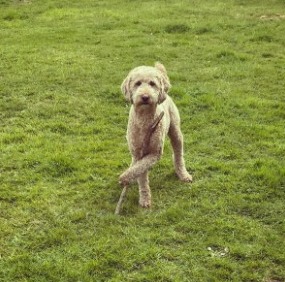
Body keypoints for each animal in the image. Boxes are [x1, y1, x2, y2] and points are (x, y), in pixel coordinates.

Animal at [118, 62, 192, 207]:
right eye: (138, 83)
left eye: (152, 83)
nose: (145, 97)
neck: (144, 119)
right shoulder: (138, 152)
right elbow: (140, 173)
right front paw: (144, 197)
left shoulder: (155, 153)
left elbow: (139, 168)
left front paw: (125, 177)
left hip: (176, 132)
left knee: (178, 156)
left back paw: (183, 174)